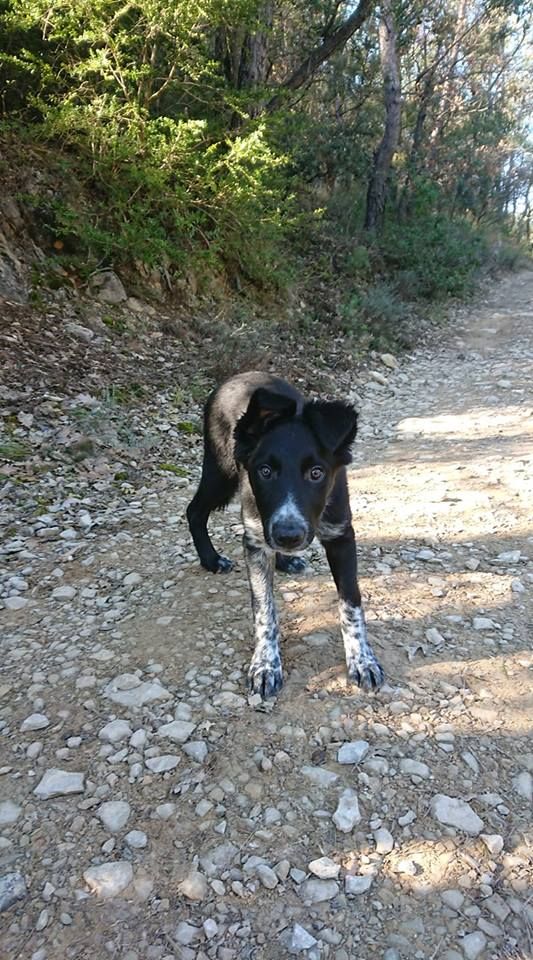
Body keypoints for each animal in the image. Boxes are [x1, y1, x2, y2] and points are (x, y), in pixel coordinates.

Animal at [186, 374, 382, 696]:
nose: (288, 536)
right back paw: (211, 559)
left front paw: (362, 660)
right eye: (264, 471)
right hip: (221, 468)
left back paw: (283, 560)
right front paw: (265, 665)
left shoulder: (341, 534)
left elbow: (351, 603)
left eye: (316, 473)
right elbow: (264, 609)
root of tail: (236, 377)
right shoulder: (255, 540)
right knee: (194, 510)